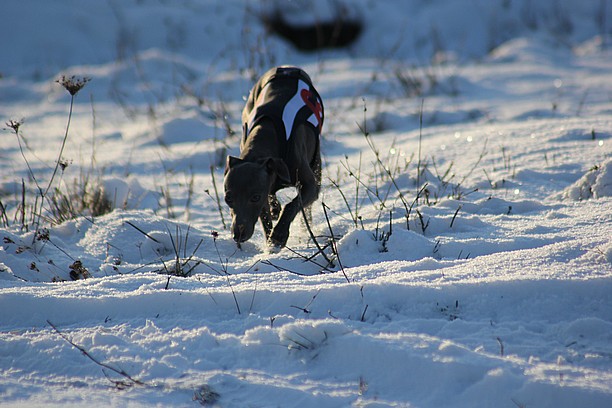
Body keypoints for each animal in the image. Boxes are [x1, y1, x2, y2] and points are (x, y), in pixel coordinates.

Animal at [222, 65, 322, 247]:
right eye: (228, 198)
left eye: (255, 197)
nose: (238, 234)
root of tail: (287, 68)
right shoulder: (265, 189)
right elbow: (265, 218)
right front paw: (270, 241)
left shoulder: (310, 185)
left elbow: (293, 204)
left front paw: (279, 235)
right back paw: (275, 208)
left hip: (316, 161)